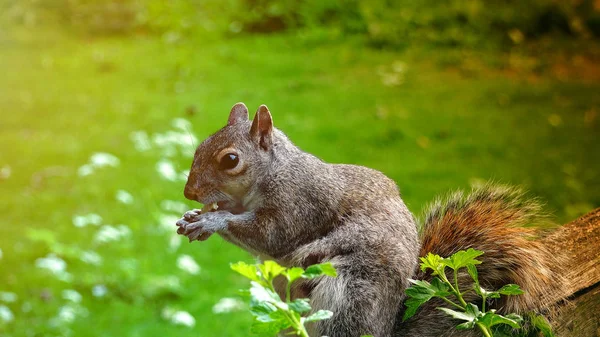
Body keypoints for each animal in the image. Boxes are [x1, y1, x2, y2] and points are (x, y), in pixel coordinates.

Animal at [175, 103, 568, 336]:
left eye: (230, 160)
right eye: (199, 147)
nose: (189, 192)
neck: (275, 171)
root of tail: (384, 327)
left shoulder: (299, 205)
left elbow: (269, 235)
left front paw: (211, 221)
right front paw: (194, 216)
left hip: (349, 296)